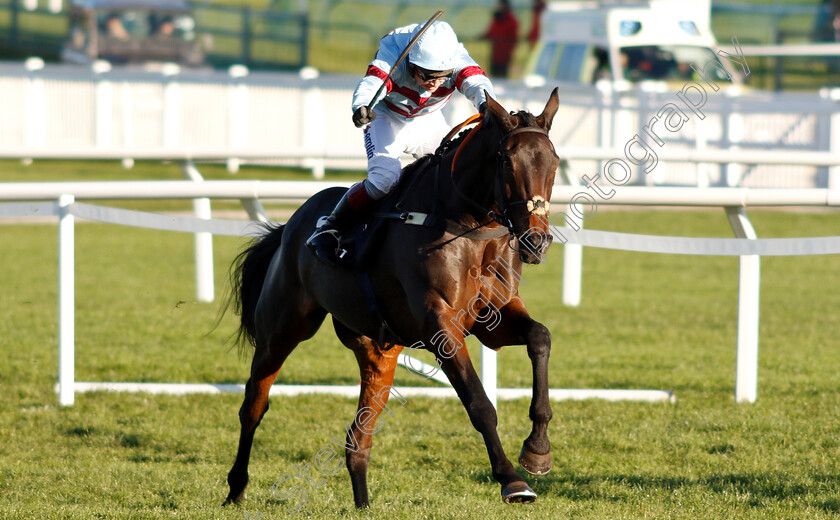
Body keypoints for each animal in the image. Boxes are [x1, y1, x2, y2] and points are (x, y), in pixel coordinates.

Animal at [226, 88, 560, 508]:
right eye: (507, 161)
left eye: (554, 161)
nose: (537, 240)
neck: (466, 225)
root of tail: (292, 224)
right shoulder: (439, 325)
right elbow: (480, 404)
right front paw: (511, 480)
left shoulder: (493, 318)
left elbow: (540, 337)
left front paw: (538, 450)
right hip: (282, 330)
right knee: (253, 405)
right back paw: (236, 486)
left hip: (378, 351)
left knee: (358, 440)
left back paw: (363, 504)